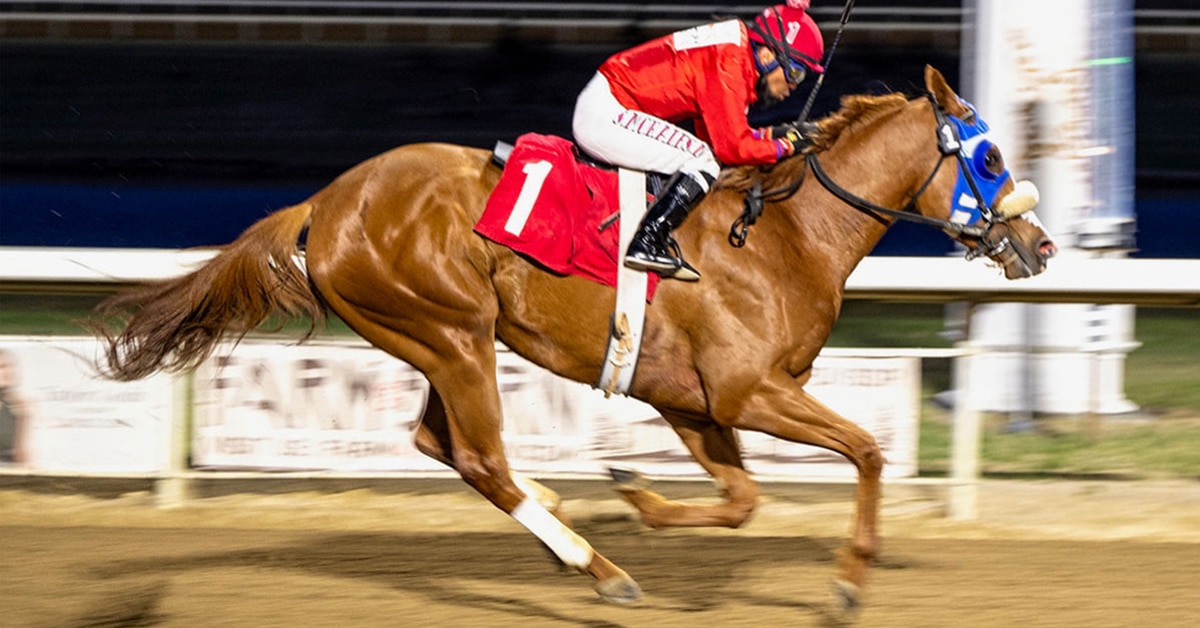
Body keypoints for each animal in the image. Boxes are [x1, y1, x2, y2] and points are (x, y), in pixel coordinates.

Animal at [88, 66, 1056, 611]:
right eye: (990, 157)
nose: (1039, 244)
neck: (785, 236)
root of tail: (324, 203)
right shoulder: (749, 391)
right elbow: (866, 450)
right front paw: (851, 579)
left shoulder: (696, 403)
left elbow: (743, 500)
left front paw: (639, 497)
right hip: (451, 330)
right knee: (478, 456)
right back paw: (597, 567)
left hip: (440, 338)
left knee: (439, 443)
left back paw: (562, 516)